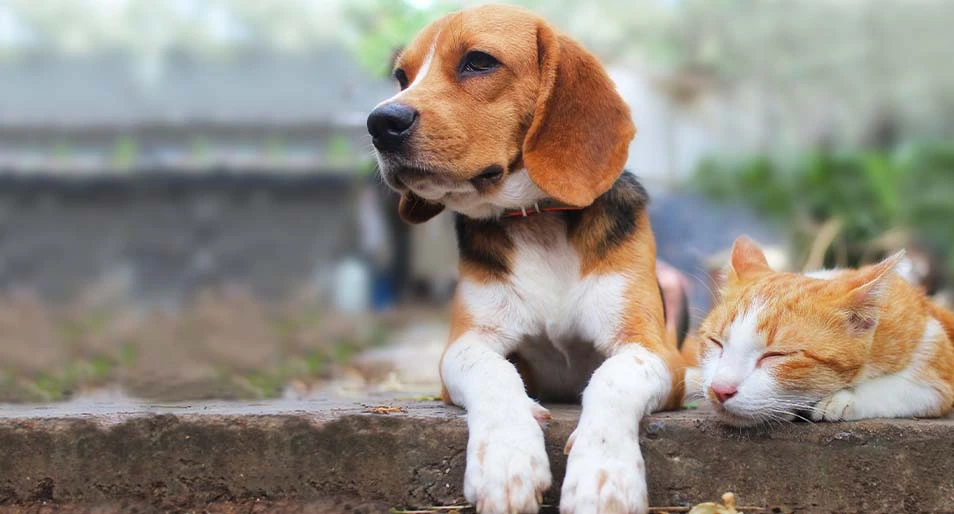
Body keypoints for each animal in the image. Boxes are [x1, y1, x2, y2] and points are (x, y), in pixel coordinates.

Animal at [364, 5, 684, 512]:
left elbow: (613, 377)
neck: (538, 221)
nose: (379, 123)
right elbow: (494, 373)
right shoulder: (465, 345)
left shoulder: (654, 350)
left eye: (478, 61)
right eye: (401, 77)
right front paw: (506, 460)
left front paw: (604, 476)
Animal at [692, 235, 952, 424]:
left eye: (776, 355)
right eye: (715, 342)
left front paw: (841, 400)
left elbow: (899, 388)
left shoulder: (938, 366)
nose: (720, 390)